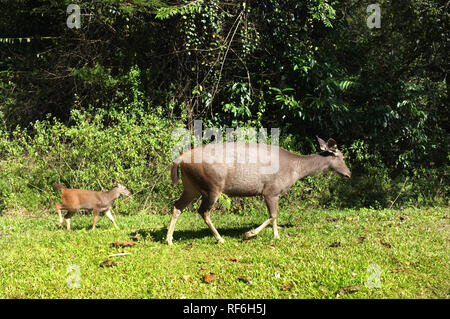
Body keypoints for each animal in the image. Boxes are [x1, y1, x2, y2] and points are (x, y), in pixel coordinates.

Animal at [166, 137, 352, 245]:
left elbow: (274, 216)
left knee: (177, 206)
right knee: (203, 211)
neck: (296, 169)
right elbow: (273, 215)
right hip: (212, 186)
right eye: (341, 156)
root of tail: (180, 158)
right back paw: (220, 238)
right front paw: (251, 234)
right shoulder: (271, 190)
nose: (349, 174)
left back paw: (169, 239)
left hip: (190, 186)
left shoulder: (272, 193)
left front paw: (275, 235)